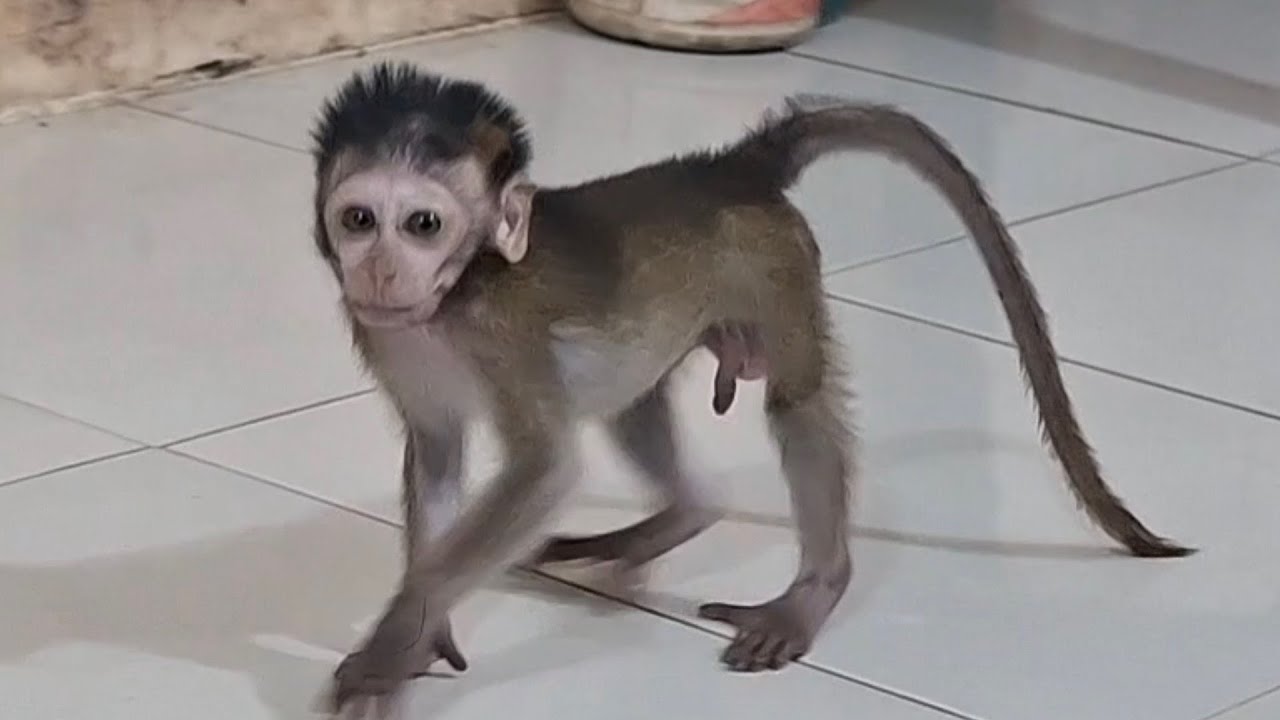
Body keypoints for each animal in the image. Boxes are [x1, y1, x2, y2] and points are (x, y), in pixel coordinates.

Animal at [309, 62, 1192, 716]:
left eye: (422, 225)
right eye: (359, 220)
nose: (379, 270)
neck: (452, 300)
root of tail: (727, 168)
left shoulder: (503, 339)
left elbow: (545, 469)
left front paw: (392, 640)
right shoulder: (386, 336)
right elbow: (439, 453)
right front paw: (423, 634)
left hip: (777, 265)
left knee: (793, 401)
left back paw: (813, 589)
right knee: (636, 406)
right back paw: (672, 520)